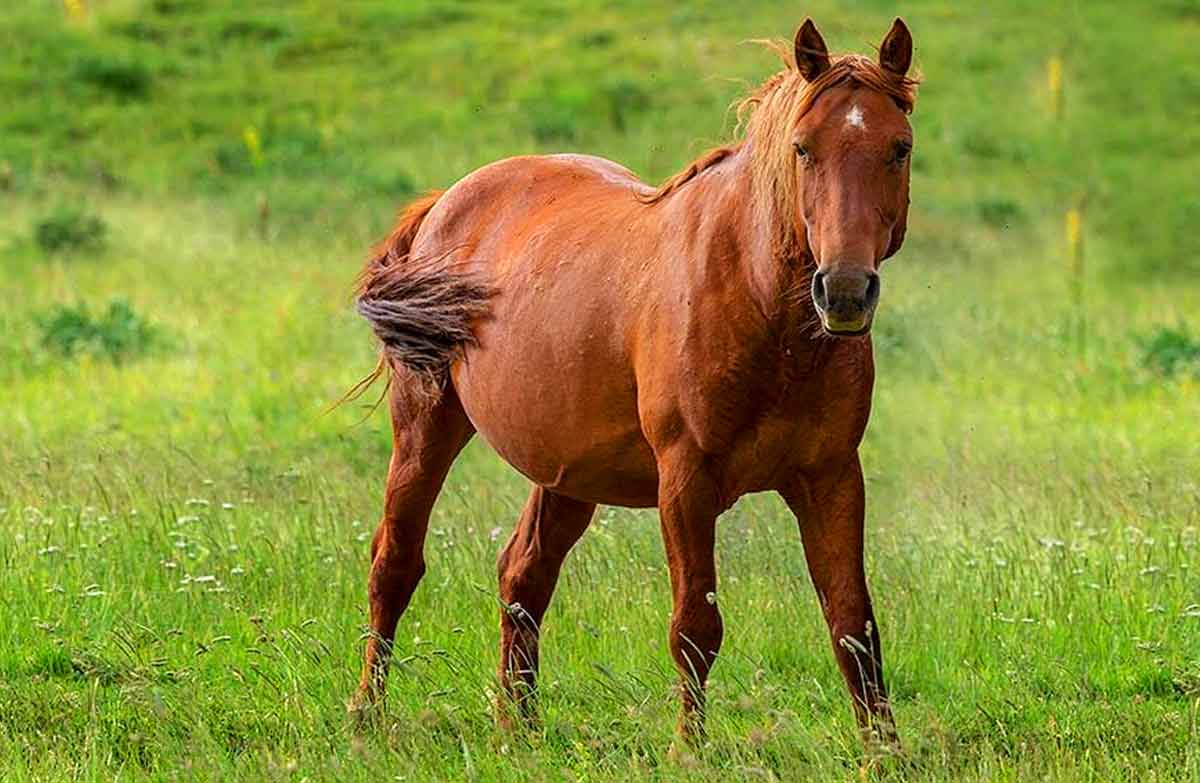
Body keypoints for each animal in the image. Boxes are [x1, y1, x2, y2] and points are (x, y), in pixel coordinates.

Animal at [347, 17, 918, 748]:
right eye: (803, 148)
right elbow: (696, 627)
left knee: (523, 574)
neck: (758, 305)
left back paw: (519, 728)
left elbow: (854, 624)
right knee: (395, 563)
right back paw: (367, 714)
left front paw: (886, 755)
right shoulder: (685, 480)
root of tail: (447, 201)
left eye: (898, 147)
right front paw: (690, 751)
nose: (844, 291)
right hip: (425, 428)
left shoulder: (833, 477)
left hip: (567, 471)